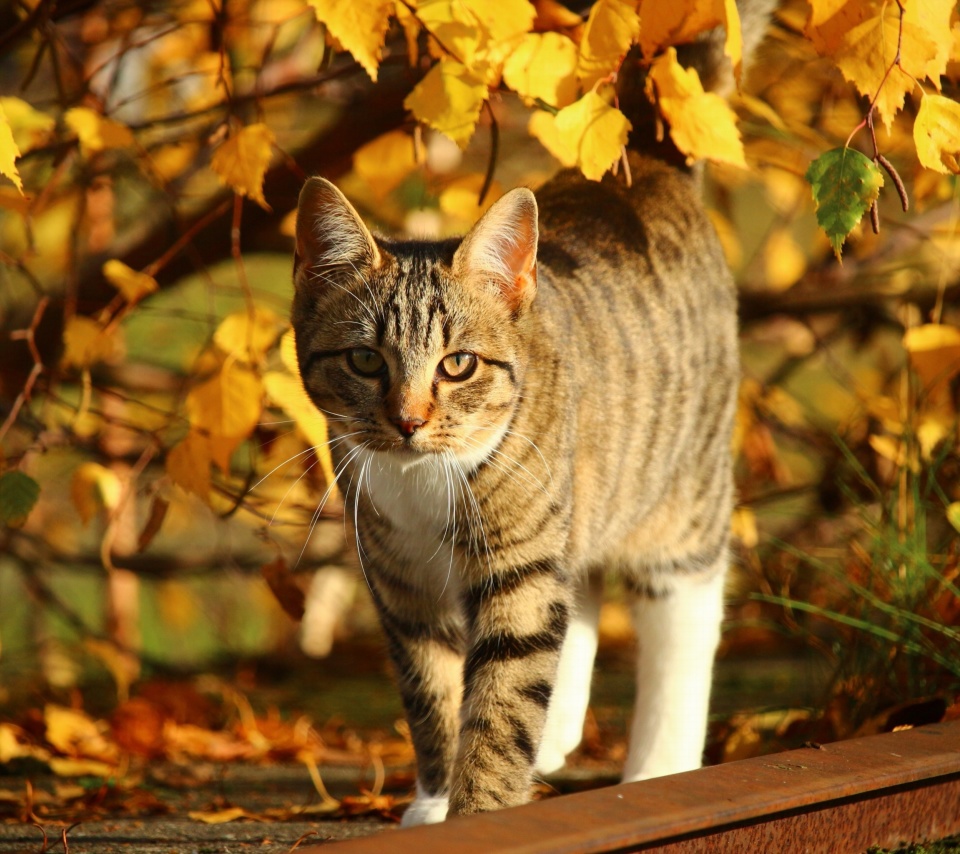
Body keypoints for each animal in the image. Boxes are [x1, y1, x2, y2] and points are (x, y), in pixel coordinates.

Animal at [288, 6, 768, 828]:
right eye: (364, 362)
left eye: (458, 365)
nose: (409, 420)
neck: (424, 483)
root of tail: (647, 168)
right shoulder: (400, 584)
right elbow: (434, 693)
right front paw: (435, 798)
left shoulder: (518, 563)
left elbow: (502, 699)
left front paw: (479, 811)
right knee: (577, 595)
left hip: (680, 495)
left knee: (683, 613)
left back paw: (659, 765)